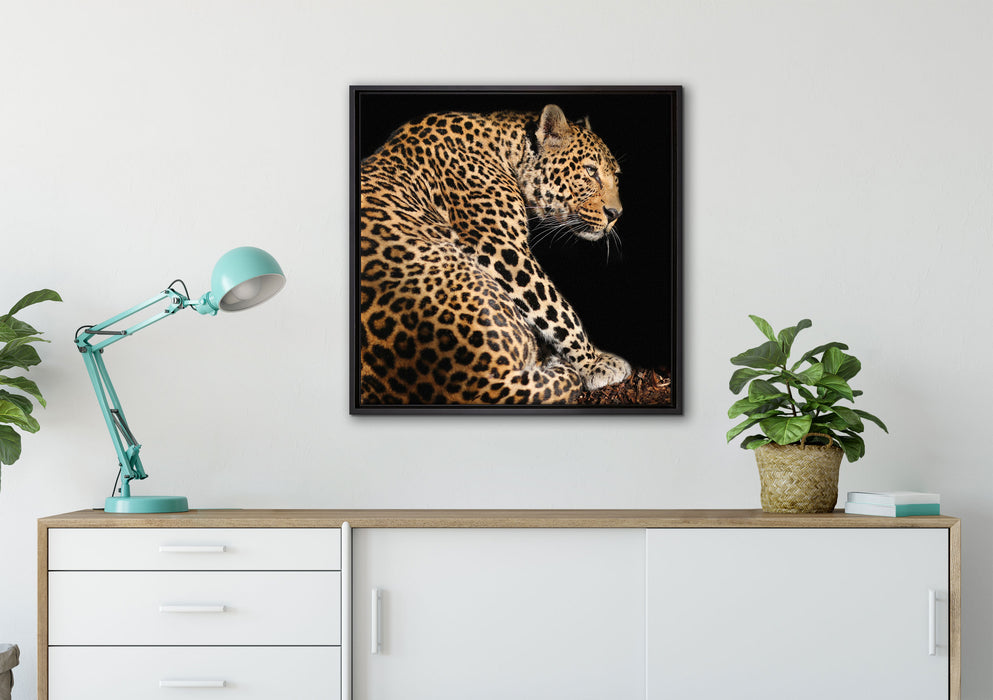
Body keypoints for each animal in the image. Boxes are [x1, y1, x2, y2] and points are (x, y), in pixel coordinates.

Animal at [358, 103, 632, 405]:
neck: (505, 146)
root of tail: (477, 384)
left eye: (616, 176)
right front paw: (595, 363)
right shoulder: (500, 247)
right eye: (590, 171)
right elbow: (556, 308)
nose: (616, 214)